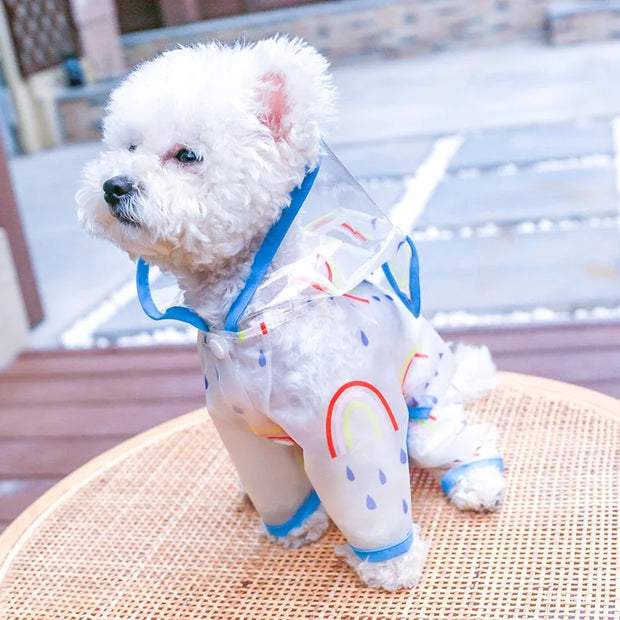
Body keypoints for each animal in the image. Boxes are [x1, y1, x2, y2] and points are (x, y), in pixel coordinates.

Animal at [77, 38, 506, 592]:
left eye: (187, 155)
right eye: (127, 147)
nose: (113, 185)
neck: (252, 313)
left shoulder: (347, 422)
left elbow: (370, 499)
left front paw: (391, 565)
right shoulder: (242, 432)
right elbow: (274, 484)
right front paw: (297, 529)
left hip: (424, 406)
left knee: (457, 439)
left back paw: (477, 481)